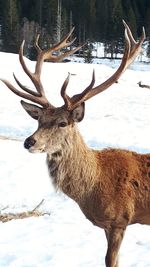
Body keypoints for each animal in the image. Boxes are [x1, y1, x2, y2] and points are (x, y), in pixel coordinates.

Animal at [0, 21, 148, 267]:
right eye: (39, 120)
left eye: (62, 123)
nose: (29, 141)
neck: (94, 185)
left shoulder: (119, 220)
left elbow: (110, 260)